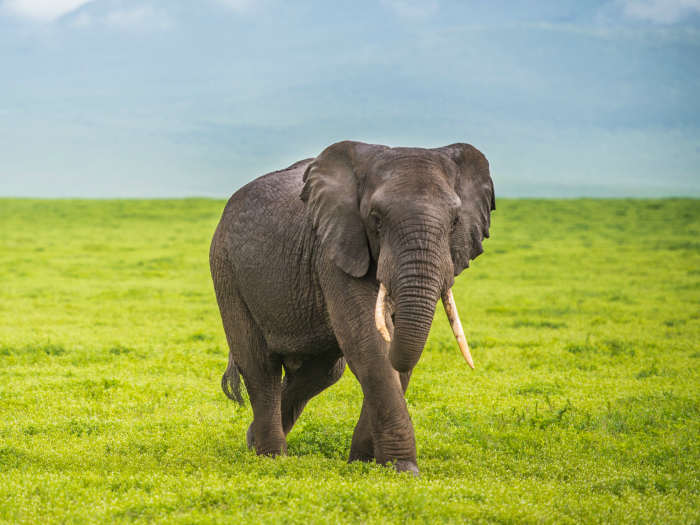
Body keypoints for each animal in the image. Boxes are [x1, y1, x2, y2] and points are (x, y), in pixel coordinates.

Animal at [211, 140, 494, 474]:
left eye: (454, 222)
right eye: (376, 219)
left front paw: (363, 463)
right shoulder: (334, 248)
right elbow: (369, 344)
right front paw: (401, 469)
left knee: (320, 373)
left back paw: (252, 441)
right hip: (226, 269)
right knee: (259, 366)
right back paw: (271, 458)